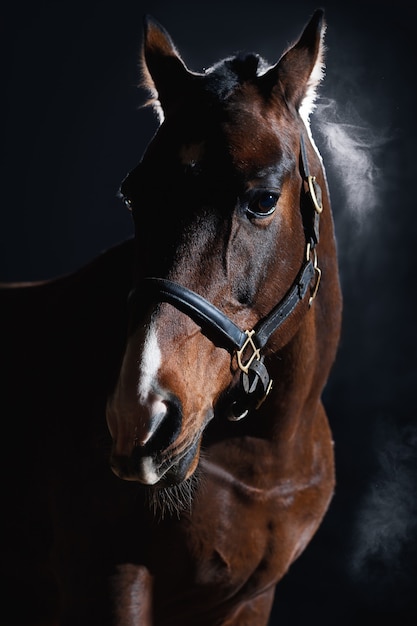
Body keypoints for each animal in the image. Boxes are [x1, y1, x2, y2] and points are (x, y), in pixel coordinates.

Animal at [0, 9, 342, 624]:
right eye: (134, 196)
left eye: (262, 199)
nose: (139, 416)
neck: (263, 455)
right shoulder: (108, 582)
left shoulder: (252, 600)